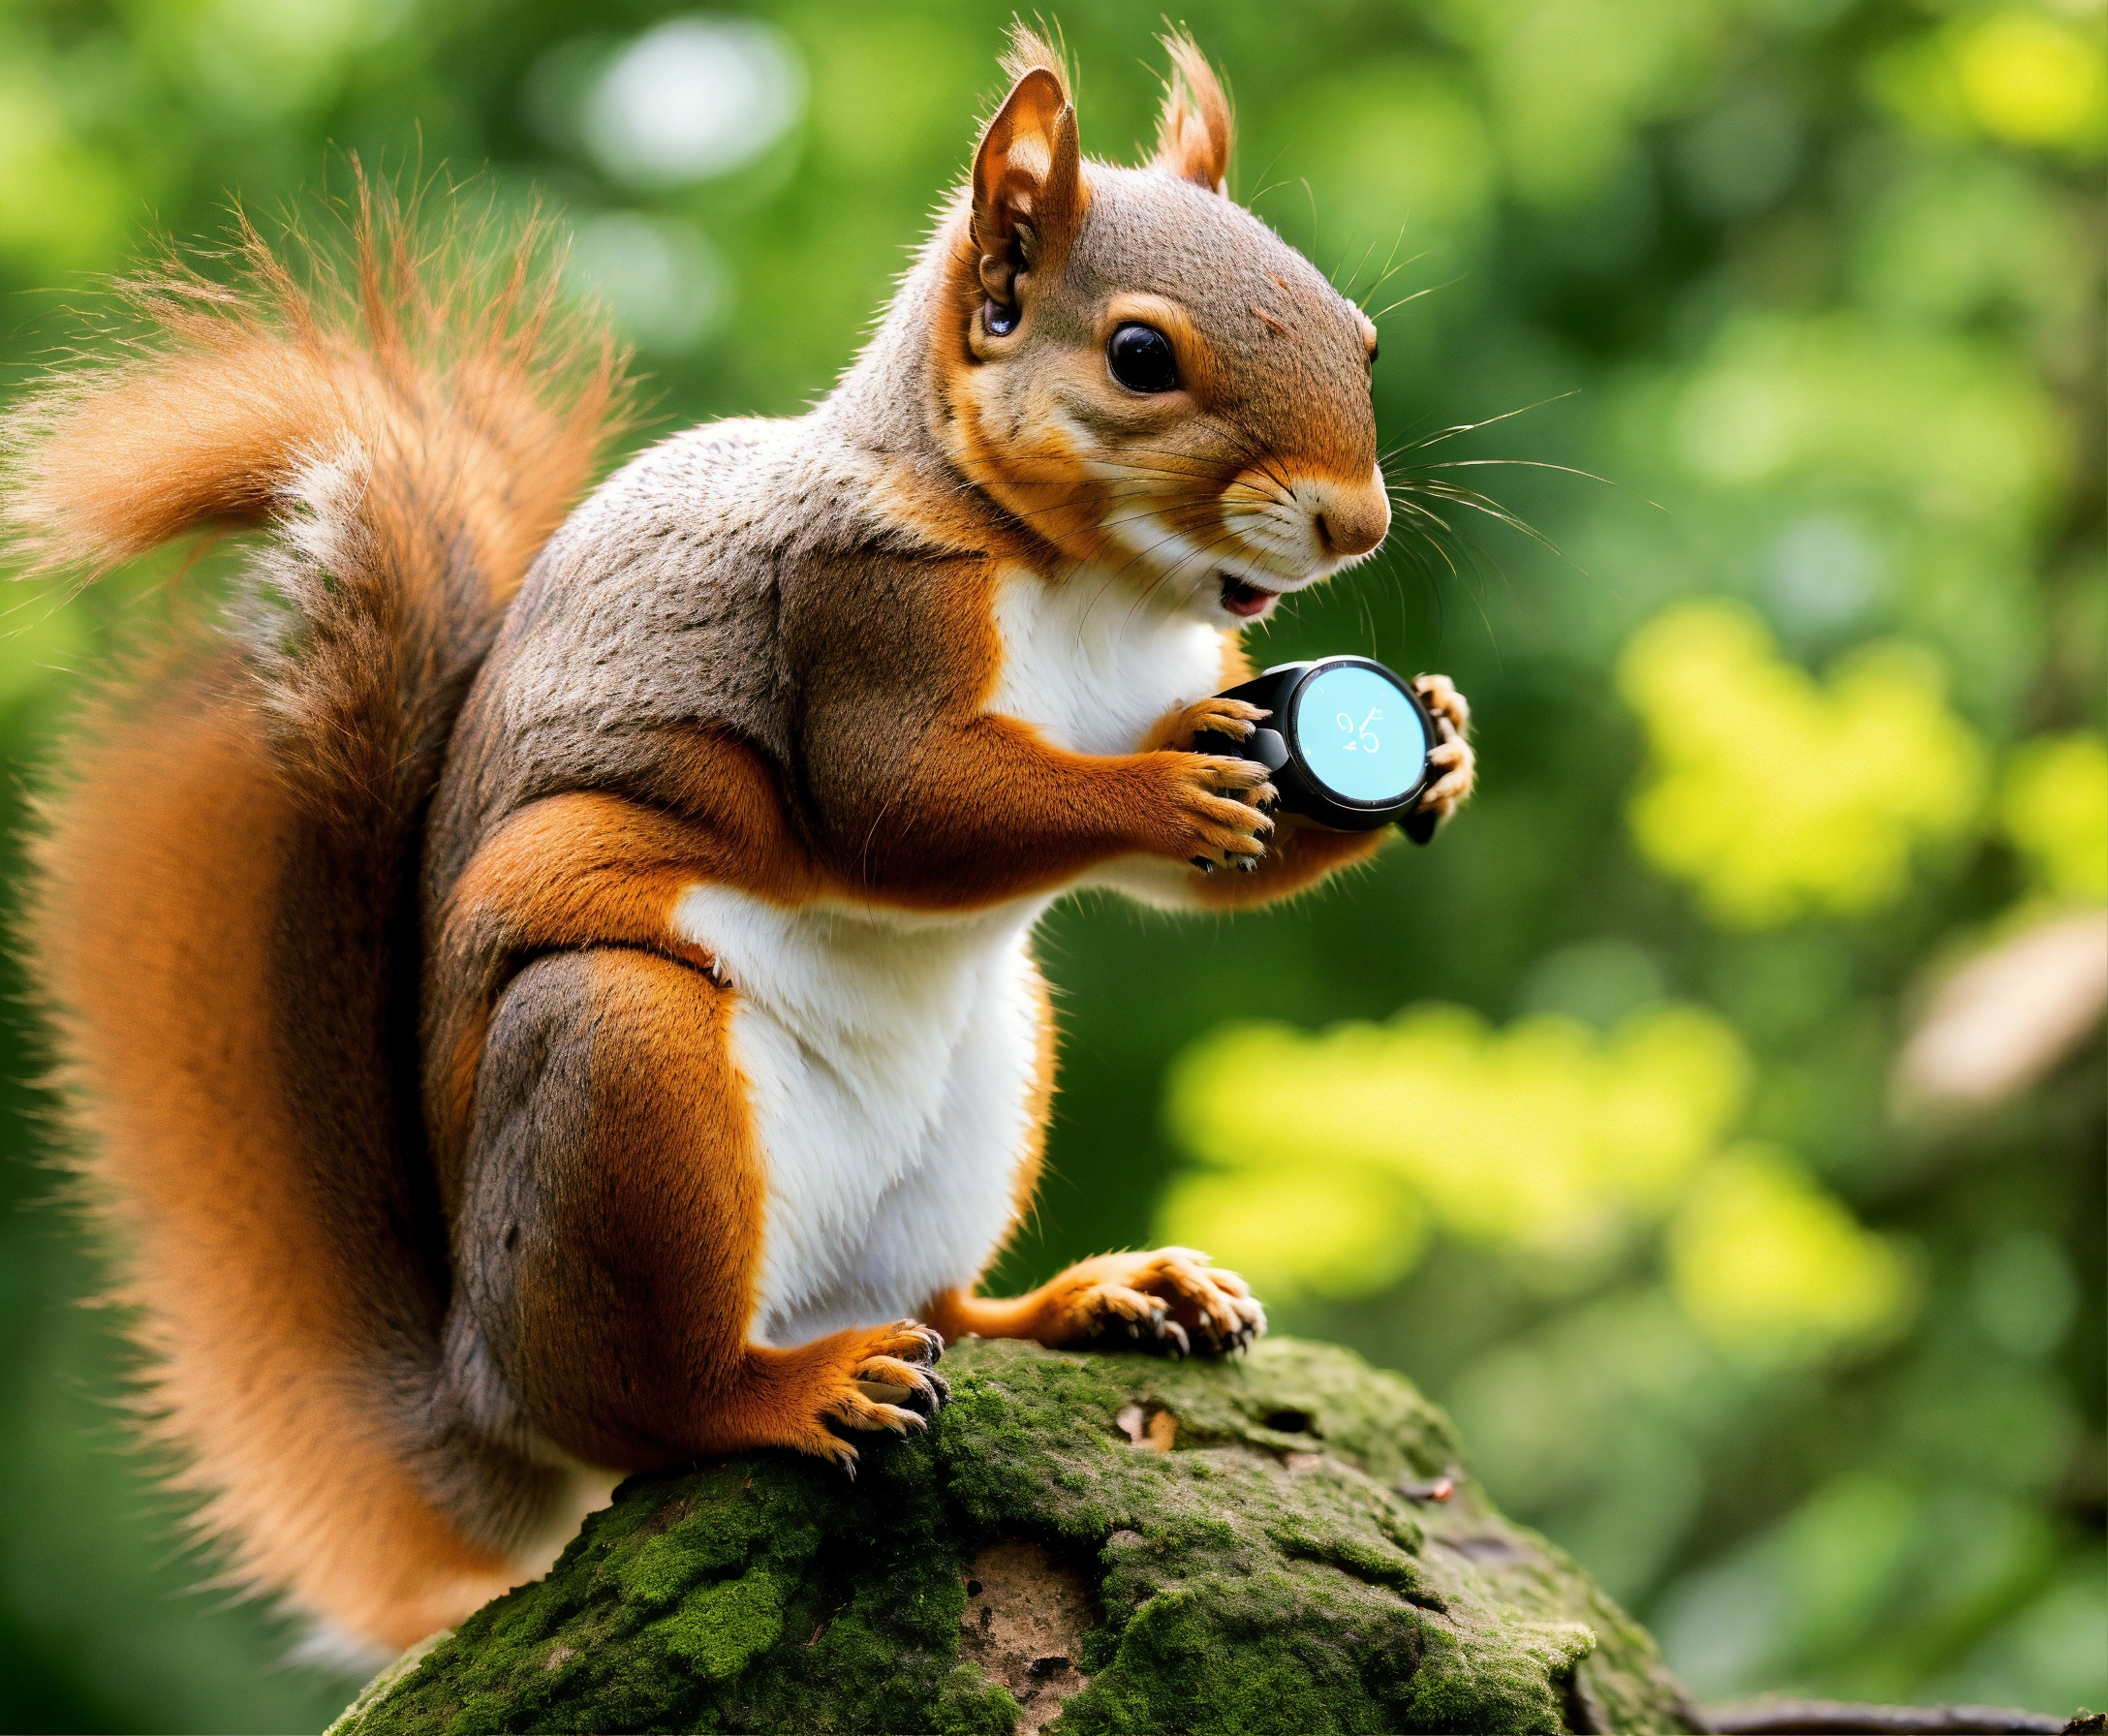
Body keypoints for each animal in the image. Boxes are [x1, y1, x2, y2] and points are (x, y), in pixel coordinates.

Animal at [3, 29, 1474, 1659]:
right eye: (1139, 357)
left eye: (1361, 339)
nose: (1354, 524)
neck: (1089, 580)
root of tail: (481, 1379)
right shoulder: (856, 617)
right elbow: (903, 810)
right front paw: (1164, 791)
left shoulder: (1193, 669)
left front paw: (1437, 744)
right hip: (622, 1072)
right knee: (659, 1405)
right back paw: (792, 1393)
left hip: (983, 1095)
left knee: (943, 1311)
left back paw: (1104, 1301)